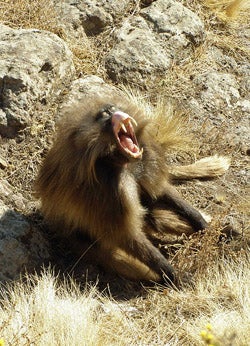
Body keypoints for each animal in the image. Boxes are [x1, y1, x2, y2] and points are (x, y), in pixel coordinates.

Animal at [35, 92, 230, 284]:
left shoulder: (143, 164)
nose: (109, 109)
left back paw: (224, 233)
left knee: (156, 217)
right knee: (120, 256)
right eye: (102, 116)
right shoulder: (109, 193)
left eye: (112, 108)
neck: (119, 161)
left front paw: (203, 224)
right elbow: (127, 235)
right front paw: (174, 274)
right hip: (81, 241)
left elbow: (159, 192)